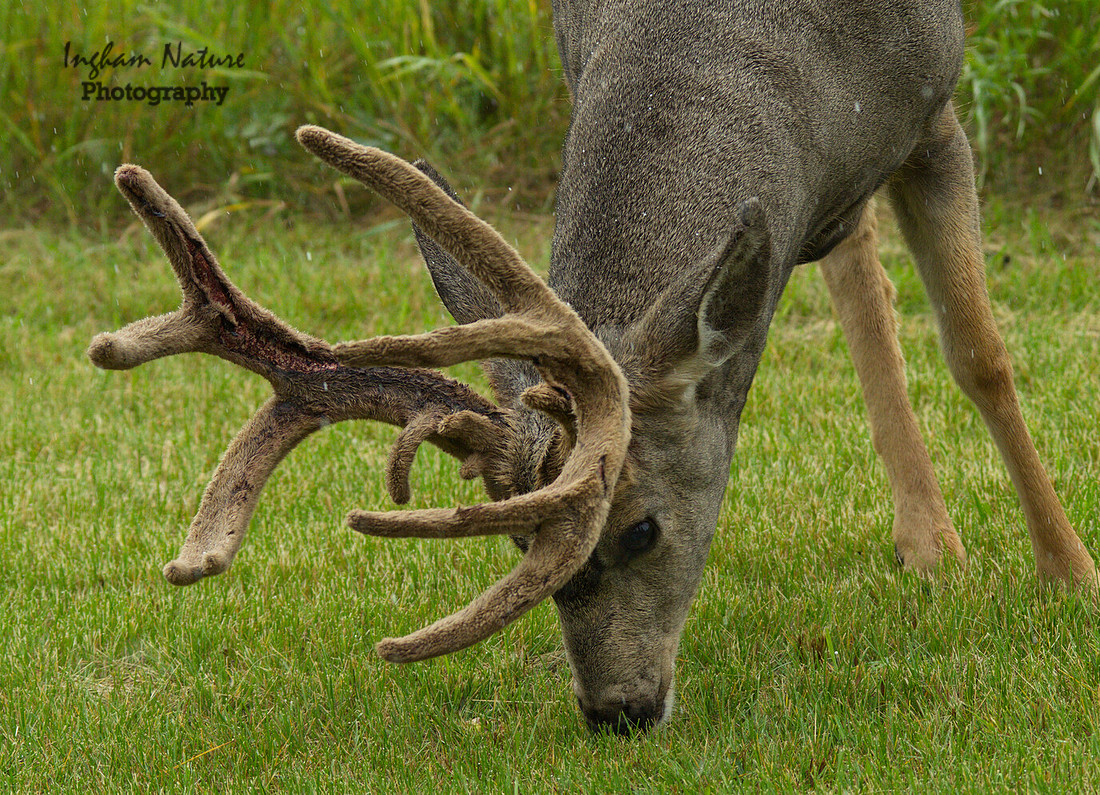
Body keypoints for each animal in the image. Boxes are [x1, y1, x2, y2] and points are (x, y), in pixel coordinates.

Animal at [88, 0, 1095, 734]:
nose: (618, 709)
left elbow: (980, 355)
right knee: (857, 270)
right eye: (517, 546)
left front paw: (1070, 573)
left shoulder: (936, 111)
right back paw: (925, 538)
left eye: (643, 529)